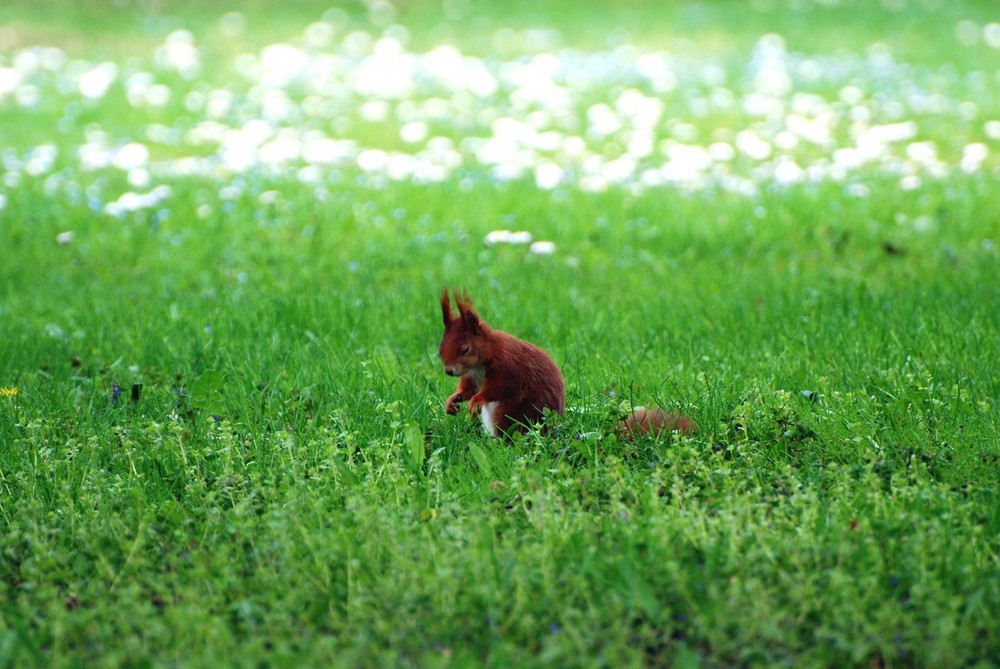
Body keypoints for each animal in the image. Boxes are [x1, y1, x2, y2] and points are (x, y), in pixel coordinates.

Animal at [438, 288, 564, 436]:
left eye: (465, 349)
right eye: (440, 350)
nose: (449, 371)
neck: (478, 366)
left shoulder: (507, 366)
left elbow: (499, 388)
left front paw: (476, 400)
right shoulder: (471, 376)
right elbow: (468, 389)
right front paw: (452, 400)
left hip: (512, 412)